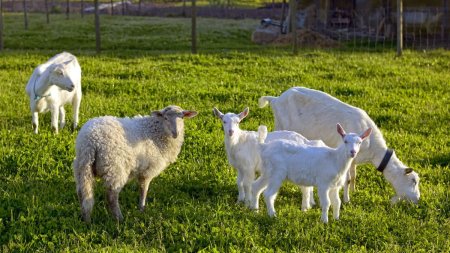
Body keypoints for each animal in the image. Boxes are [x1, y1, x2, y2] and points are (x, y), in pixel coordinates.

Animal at [258, 86, 420, 204]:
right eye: (413, 181)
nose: (417, 199)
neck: (373, 149)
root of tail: (275, 99)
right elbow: (347, 179)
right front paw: (347, 200)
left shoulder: (354, 158)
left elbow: (353, 176)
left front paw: (354, 191)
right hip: (281, 123)